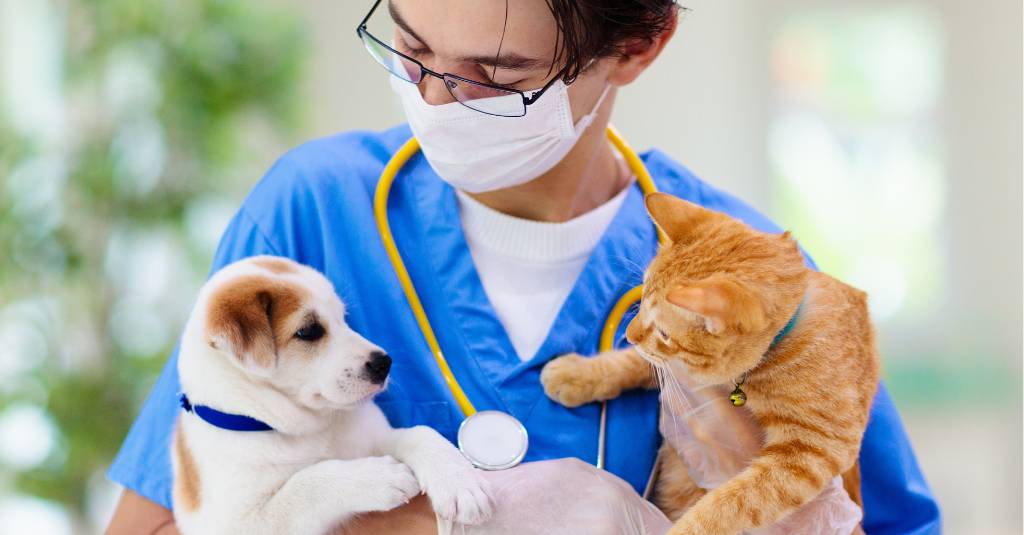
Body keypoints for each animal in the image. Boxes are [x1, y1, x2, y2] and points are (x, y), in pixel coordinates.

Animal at [171, 255, 491, 532]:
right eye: (309, 331)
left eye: (343, 318)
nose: (384, 363)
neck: (306, 428)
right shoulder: (239, 522)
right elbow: (305, 484)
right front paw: (379, 477)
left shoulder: (375, 437)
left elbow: (420, 433)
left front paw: (459, 481)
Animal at [544, 191, 880, 532]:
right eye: (641, 302)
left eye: (664, 332)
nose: (629, 334)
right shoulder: (674, 368)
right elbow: (634, 363)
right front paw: (578, 373)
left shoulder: (812, 451)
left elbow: (731, 503)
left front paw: (686, 528)